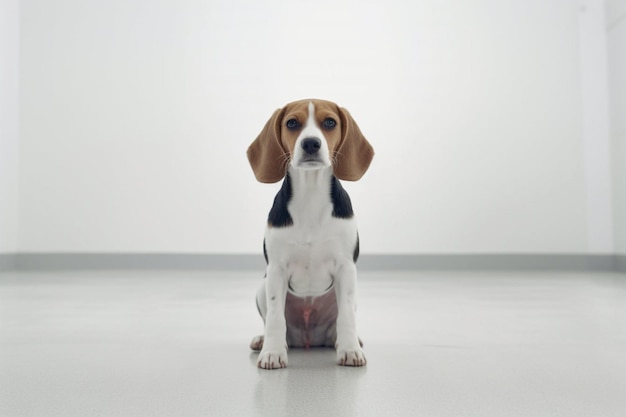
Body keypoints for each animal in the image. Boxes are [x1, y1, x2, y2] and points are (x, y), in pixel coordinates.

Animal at [244, 98, 370, 368]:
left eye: (330, 122)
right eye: (292, 123)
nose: (311, 143)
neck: (311, 194)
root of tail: (308, 338)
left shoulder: (346, 267)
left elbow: (346, 316)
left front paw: (350, 350)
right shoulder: (276, 269)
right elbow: (275, 317)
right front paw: (272, 352)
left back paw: (347, 340)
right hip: (263, 285)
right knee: (271, 320)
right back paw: (263, 340)